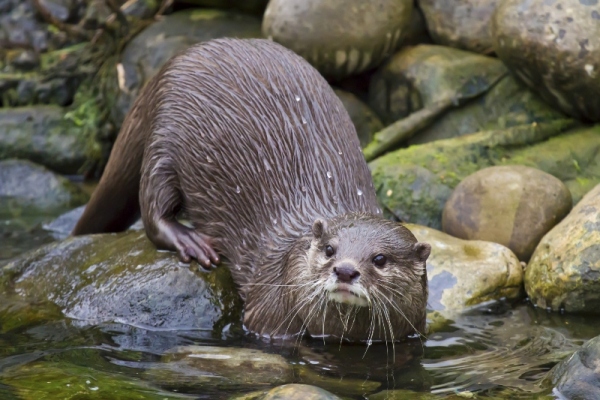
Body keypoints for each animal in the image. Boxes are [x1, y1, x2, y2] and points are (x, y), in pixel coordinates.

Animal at [74, 39, 432, 342]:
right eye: (330, 249)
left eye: (380, 259)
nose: (345, 270)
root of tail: (167, 69)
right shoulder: (266, 314)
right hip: (164, 140)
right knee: (152, 208)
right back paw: (190, 241)